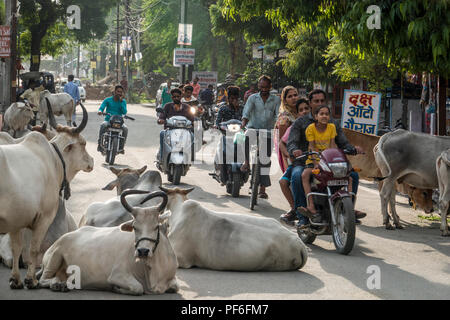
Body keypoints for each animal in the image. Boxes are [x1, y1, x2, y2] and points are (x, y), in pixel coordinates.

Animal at [0, 100, 93, 290]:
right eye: (83, 143)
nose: (92, 162)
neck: (55, 159)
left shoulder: (15, 220)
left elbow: (16, 248)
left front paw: (16, 280)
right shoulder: (44, 217)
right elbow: (33, 249)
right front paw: (30, 280)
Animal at [39, 190, 179, 296]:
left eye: (156, 227)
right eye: (134, 227)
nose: (143, 251)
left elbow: (175, 287)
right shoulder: (117, 275)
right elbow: (138, 288)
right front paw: (116, 288)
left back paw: (62, 283)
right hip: (55, 256)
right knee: (42, 280)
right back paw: (57, 284)